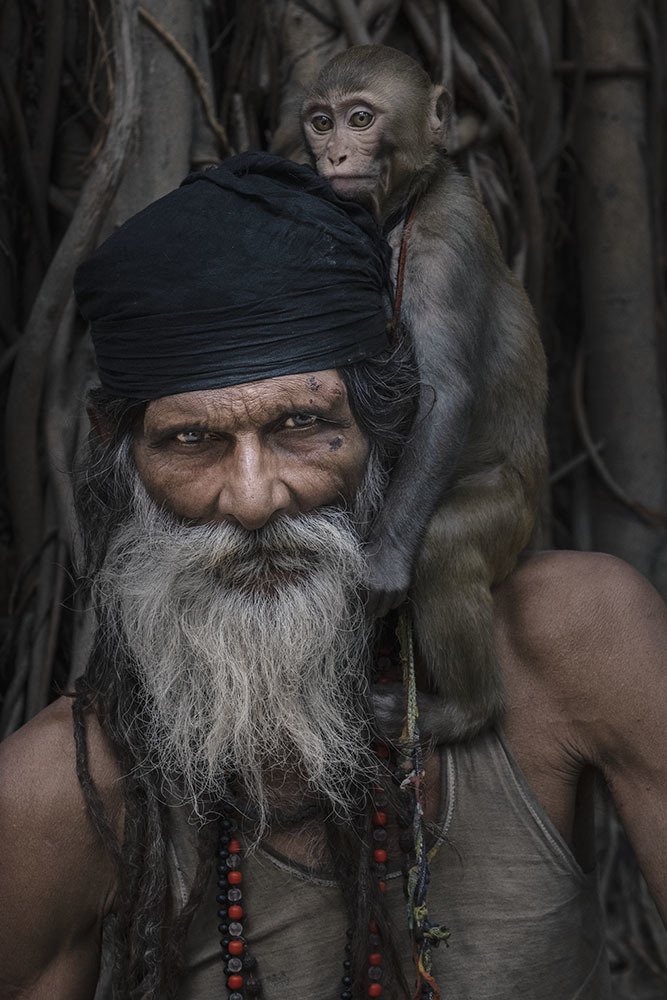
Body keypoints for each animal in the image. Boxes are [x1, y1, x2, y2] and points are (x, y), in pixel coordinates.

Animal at [301, 45, 548, 741]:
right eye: (322, 123)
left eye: (360, 118)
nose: (335, 156)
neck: (405, 201)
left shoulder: (444, 240)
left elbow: (445, 394)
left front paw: (383, 563)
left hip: (511, 516)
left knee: (443, 543)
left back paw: (464, 709)